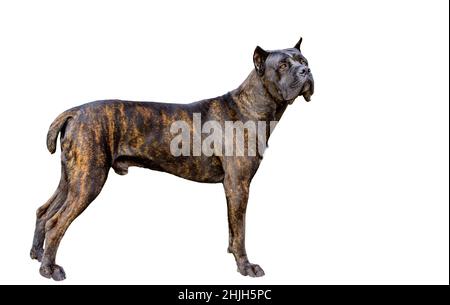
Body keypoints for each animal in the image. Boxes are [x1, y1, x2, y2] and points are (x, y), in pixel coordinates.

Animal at [30, 38, 312, 280]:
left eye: (304, 60)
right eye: (283, 65)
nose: (306, 71)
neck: (250, 106)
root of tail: (74, 112)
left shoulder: (234, 188)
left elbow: (233, 229)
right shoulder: (238, 185)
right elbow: (240, 231)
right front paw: (245, 266)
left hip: (72, 178)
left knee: (44, 212)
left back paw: (38, 255)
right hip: (89, 180)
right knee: (56, 222)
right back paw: (50, 269)